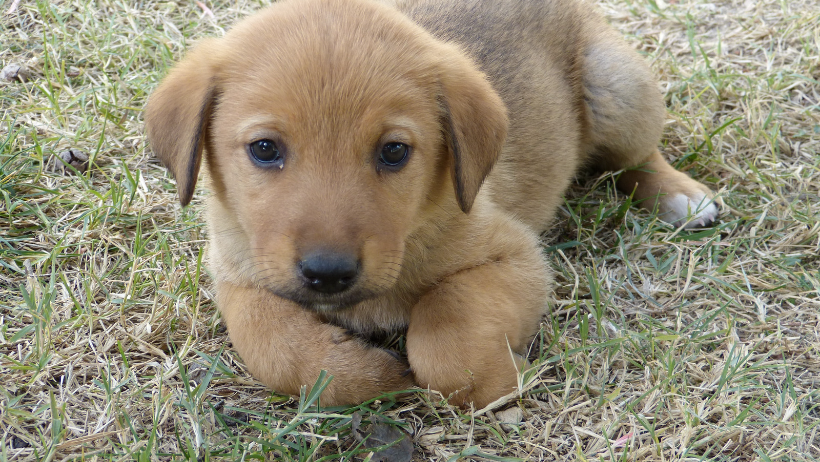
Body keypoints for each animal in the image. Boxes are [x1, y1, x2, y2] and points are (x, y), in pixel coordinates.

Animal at [147, 0, 716, 408]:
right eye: (264, 149)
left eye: (394, 151)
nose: (327, 273)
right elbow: (270, 346)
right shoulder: (237, 273)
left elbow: (446, 342)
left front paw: (503, 382)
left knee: (639, 154)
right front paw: (363, 374)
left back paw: (681, 197)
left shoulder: (514, 257)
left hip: (617, 88)